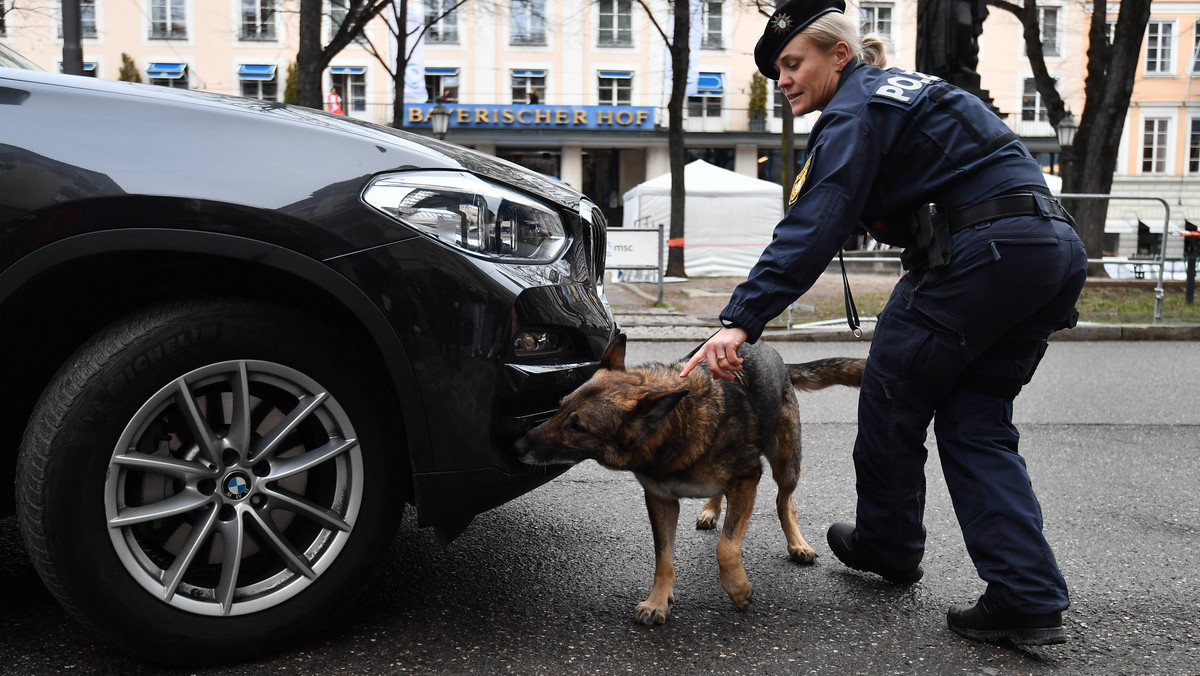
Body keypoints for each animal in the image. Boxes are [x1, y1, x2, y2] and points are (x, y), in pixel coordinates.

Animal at [516, 336, 864, 629]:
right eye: (560, 407)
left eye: (577, 427)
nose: (518, 445)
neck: (675, 424)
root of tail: (767, 348)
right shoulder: (661, 500)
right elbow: (664, 558)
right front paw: (658, 601)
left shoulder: (746, 479)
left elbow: (727, 547)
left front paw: (738, 589)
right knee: (725, 495)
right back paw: (711, 510)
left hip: (785, 462)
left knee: (784, 502)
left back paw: (797, 543)